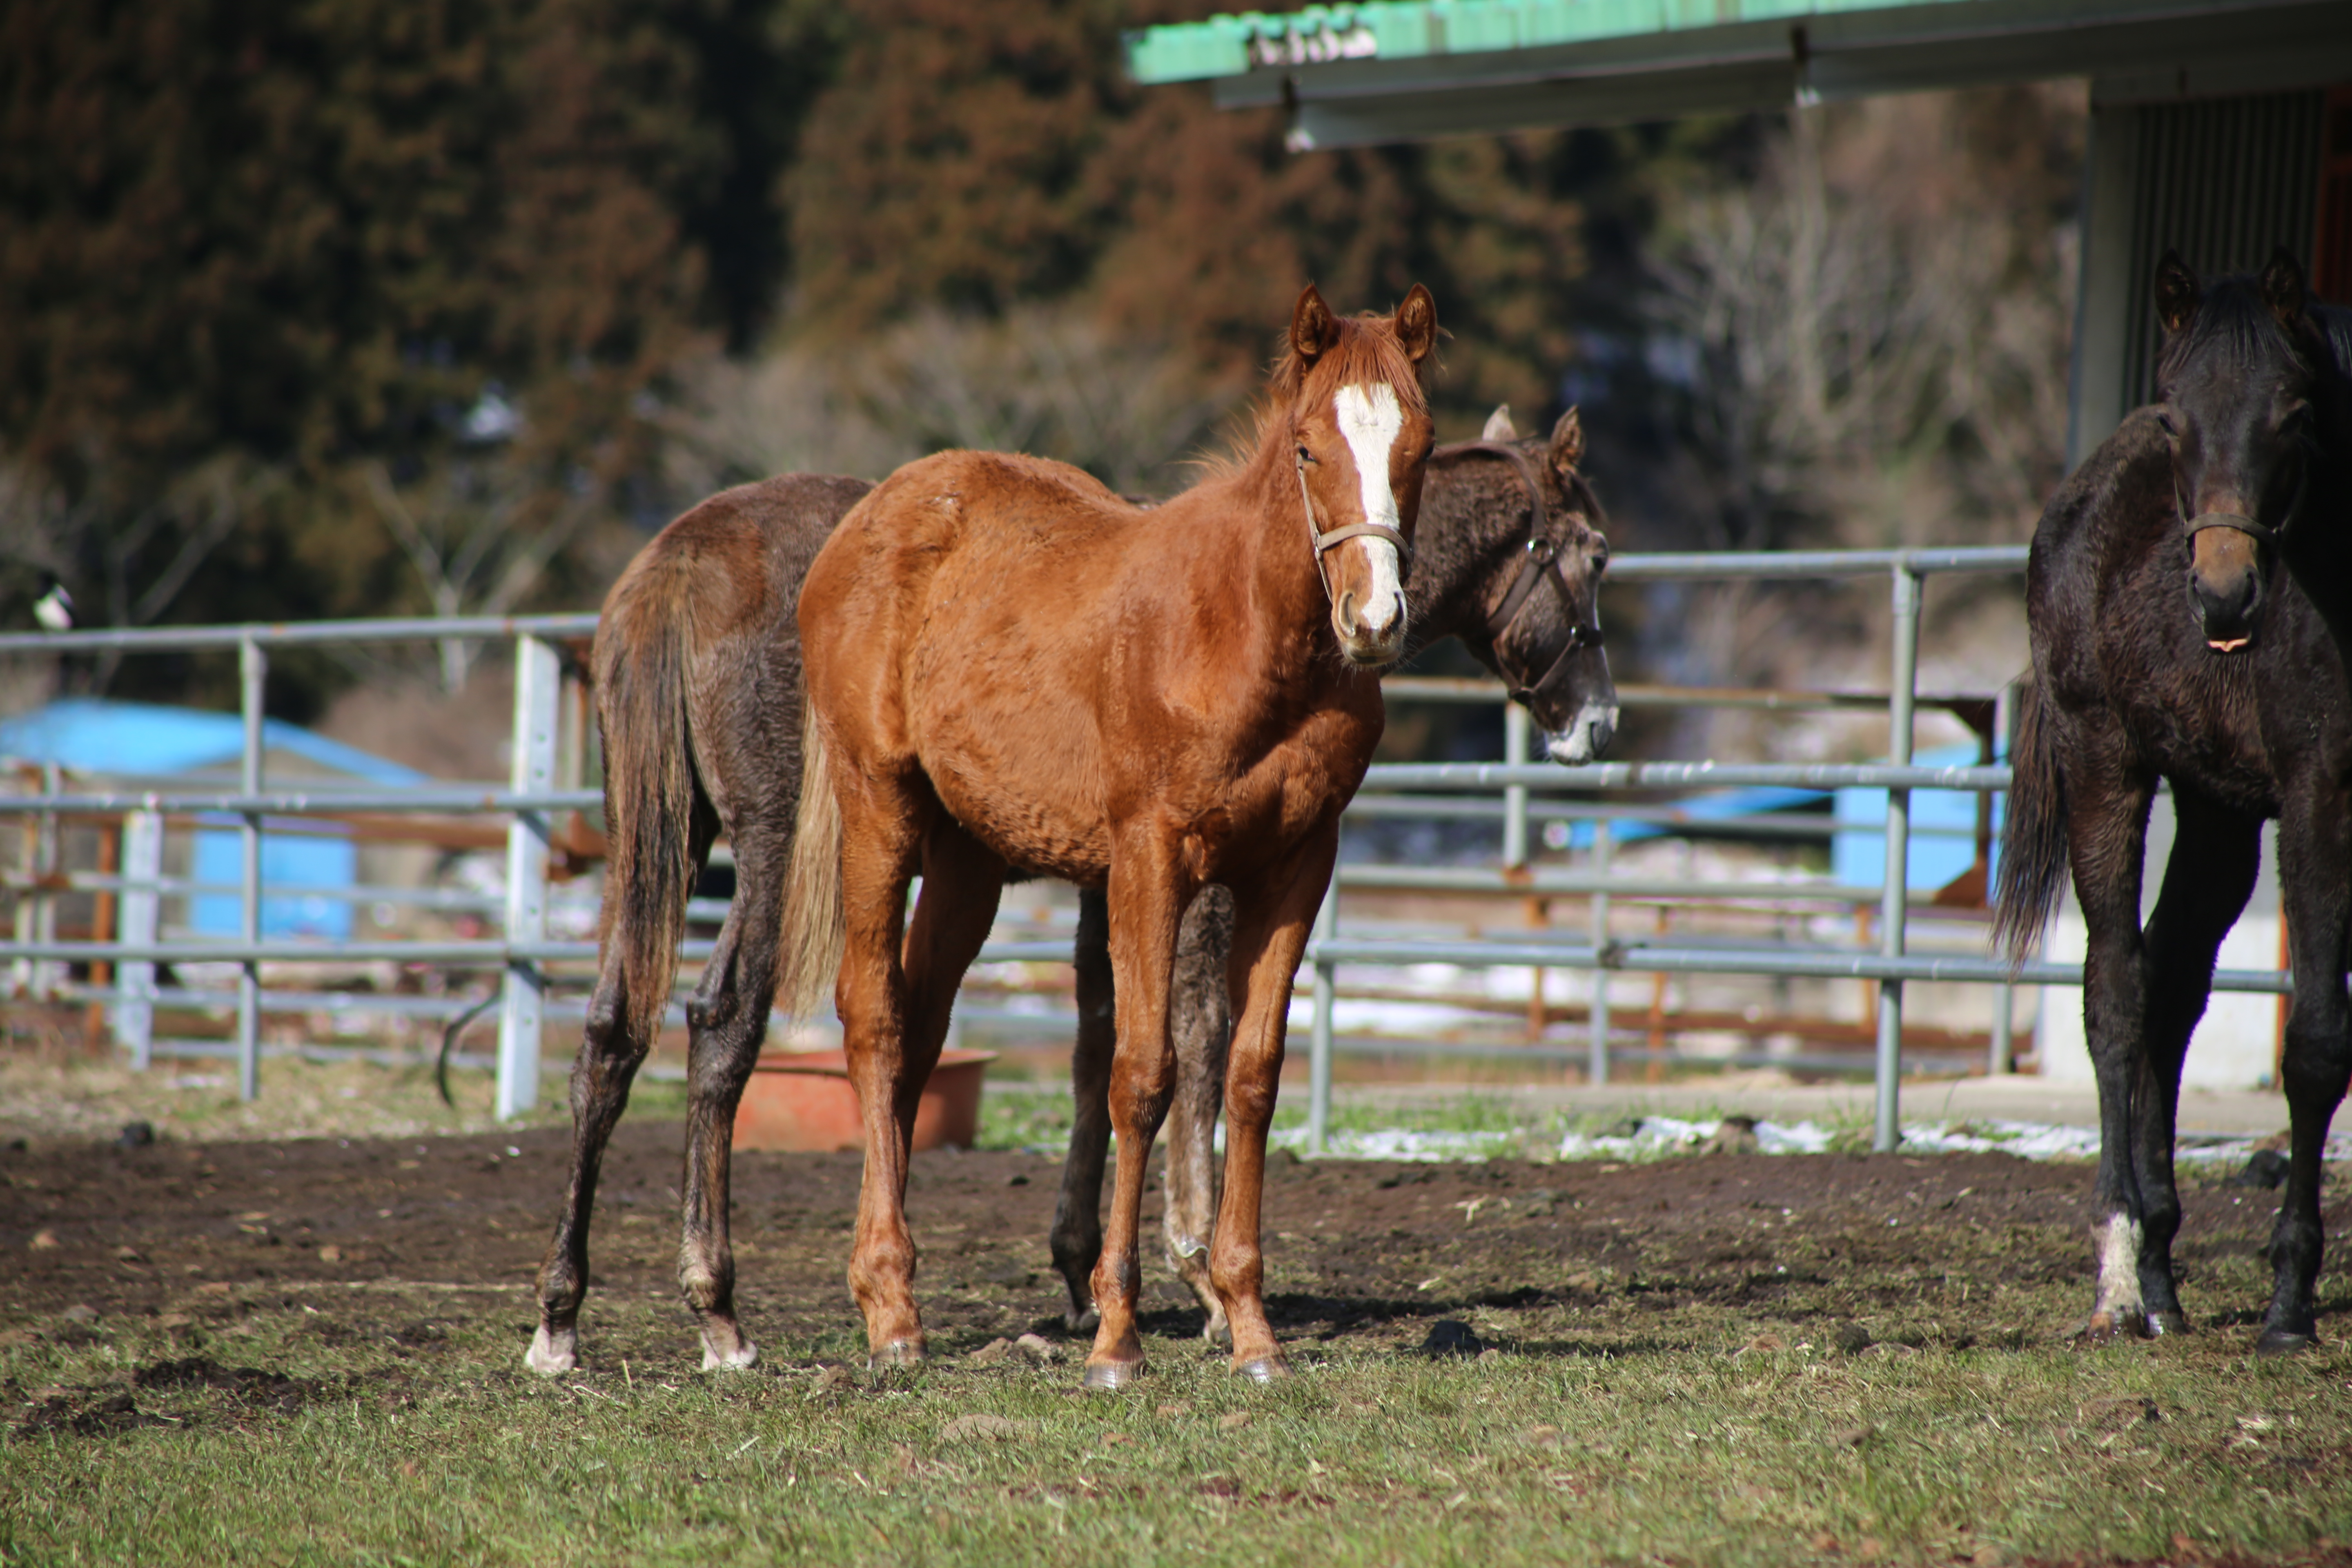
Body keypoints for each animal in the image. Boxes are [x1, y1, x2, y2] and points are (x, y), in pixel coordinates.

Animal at [790, 285, 1439, 1382]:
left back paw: (894, 1283)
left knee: (921, 1033)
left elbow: (1250, 1078)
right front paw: (1116, 1334)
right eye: (1308, 448)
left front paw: (1250, 1327)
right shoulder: (1148, 859)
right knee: (874, 1019)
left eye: (1418, 449)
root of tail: (869, 519)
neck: (1239, 634)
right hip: (880, 803)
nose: (1374, 619)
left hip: (968, 859)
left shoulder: (1297, 865)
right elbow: (1141, 1075)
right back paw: (890, 1311)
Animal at [2004, 252, 2352, 1354]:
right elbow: (2316, 1040)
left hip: (2215, 811)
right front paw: (2288, 1307)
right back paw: (2122, 1277)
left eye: (2295, 410)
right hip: (2106, 768)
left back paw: (2160, 1271)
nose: (2224, 596)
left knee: (2170, 987)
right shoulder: (2320, 790)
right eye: (2176, 418)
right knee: (2116, 993)